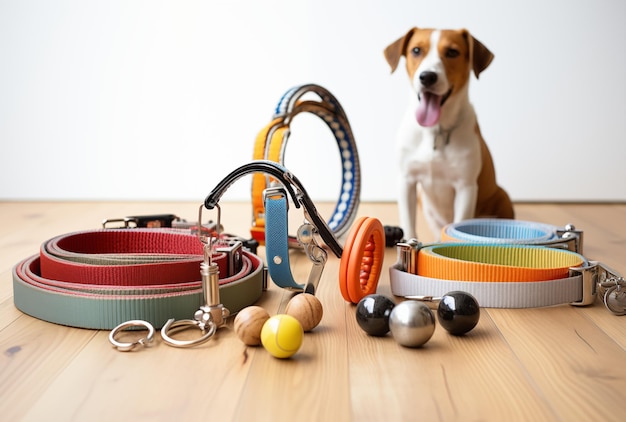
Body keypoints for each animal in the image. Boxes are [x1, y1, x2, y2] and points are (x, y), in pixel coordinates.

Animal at [386, 28, 512, 241]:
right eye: (416, 50)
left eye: (452, 52)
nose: (427, 77)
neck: (435, 131)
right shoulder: (407, 181)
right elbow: (409, 225)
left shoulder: (465, 187)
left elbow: (459, 222)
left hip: (502, 196)